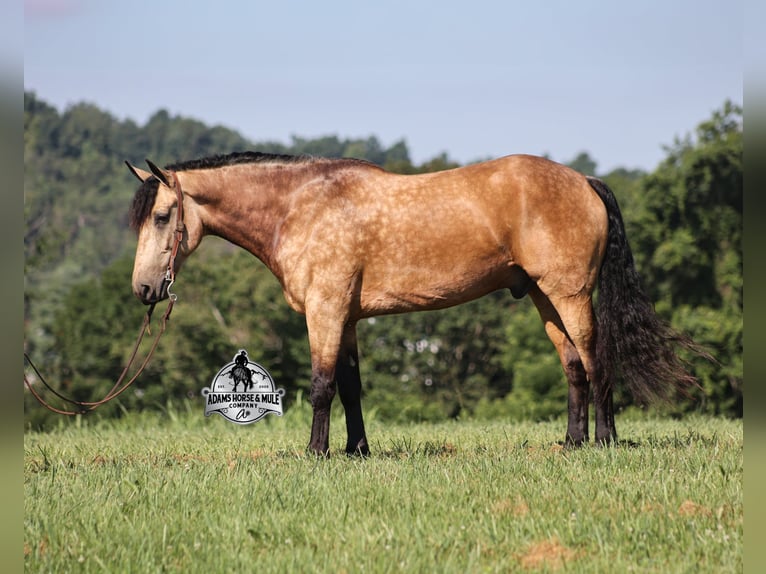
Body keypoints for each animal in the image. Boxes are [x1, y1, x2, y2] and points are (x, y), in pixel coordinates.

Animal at [127, 151, 699, 455]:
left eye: (161, 216)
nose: (144, 290)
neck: (302, 206)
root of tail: (584, 180)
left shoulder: (326, 311)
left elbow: (321, 385)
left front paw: (316, 453)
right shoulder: (347, 317)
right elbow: (351, 386)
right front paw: (356, 451)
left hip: (570, 293)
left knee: (595, 359)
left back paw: (603, 441)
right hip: (544, 298)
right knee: (573, 366)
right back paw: (572, 442)